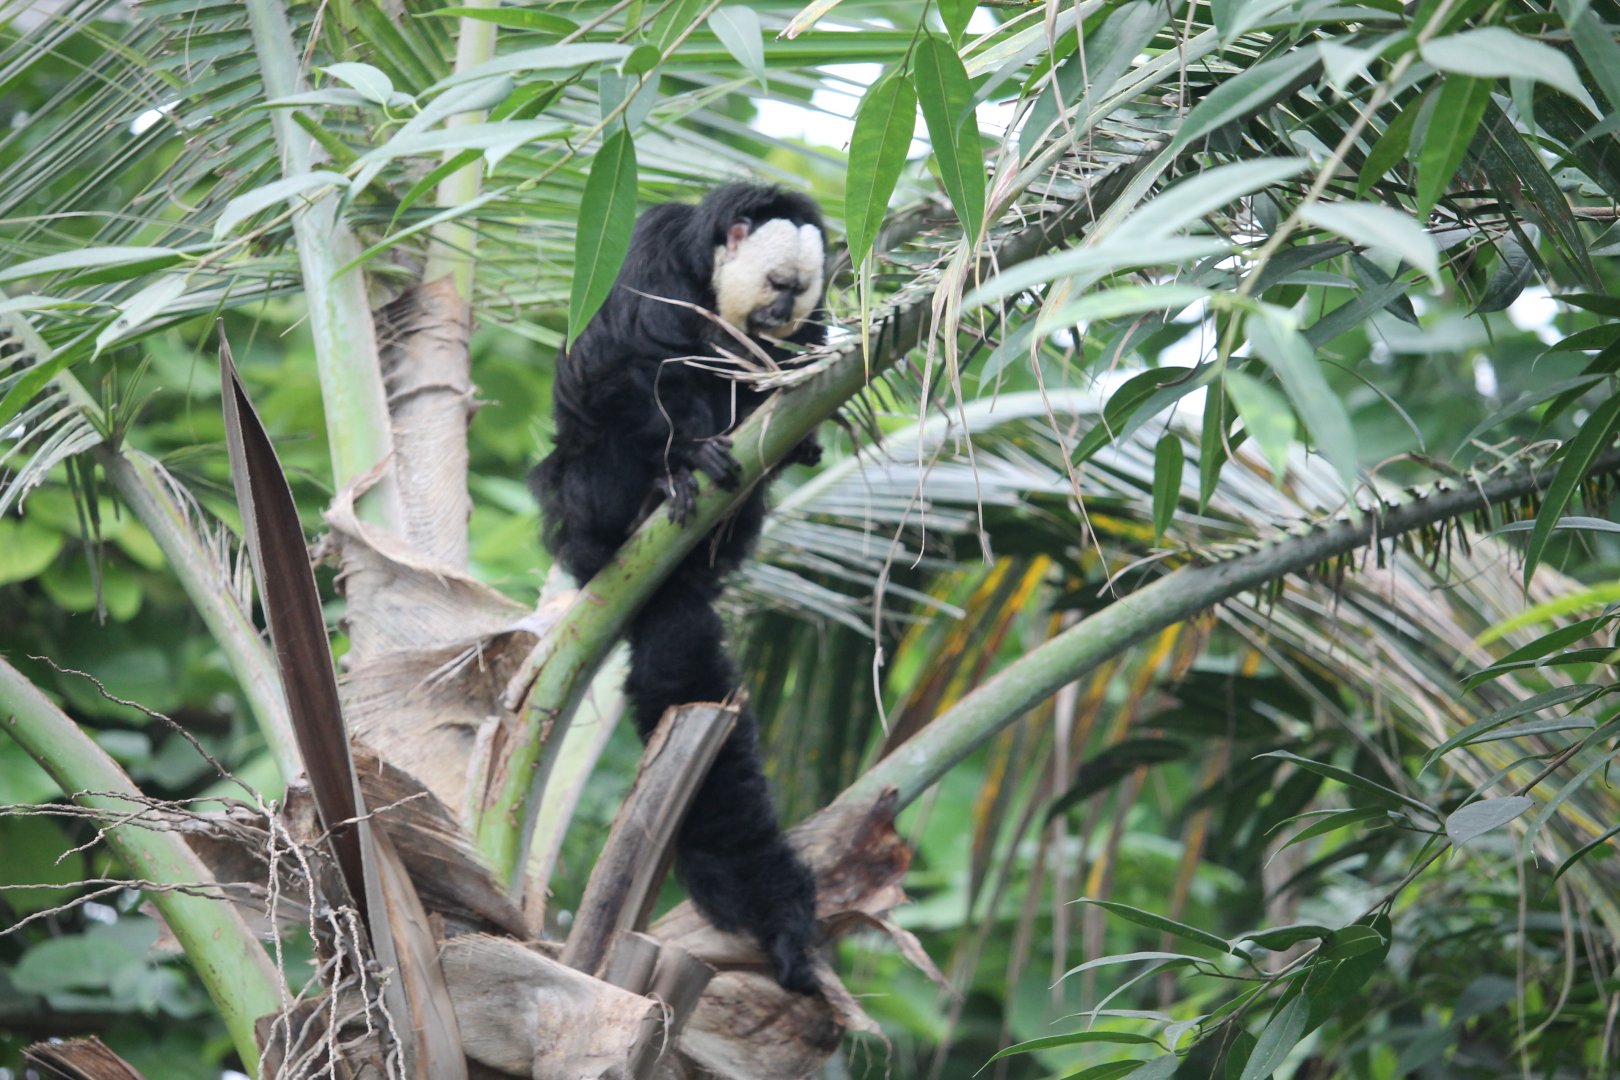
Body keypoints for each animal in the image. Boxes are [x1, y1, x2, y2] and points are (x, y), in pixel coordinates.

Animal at [531, 182, 828, 994]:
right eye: (777, 283)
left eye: (799, 292)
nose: (780, 312)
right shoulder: (650, 255)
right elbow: (621, 362)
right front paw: (689, 455)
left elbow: (779, 374)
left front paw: (804, 419)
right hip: (583, 503)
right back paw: (661, 491)